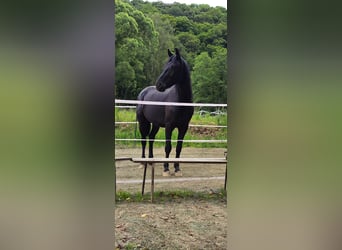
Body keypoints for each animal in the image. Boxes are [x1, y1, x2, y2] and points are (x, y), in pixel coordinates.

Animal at [137, 48, 195, 176]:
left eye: (172, 67)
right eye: (165, 66)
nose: (159, 85)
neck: (181, 102)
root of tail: (143, 92)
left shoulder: (183, 127)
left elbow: (179, 147)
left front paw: (177, 169)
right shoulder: (169, 126)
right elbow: (168, 146)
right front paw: (166, 169)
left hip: (156, 124)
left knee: (151, 138)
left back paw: (151, 160)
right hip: (143, 122)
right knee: (143, 139)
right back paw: (143, 162)